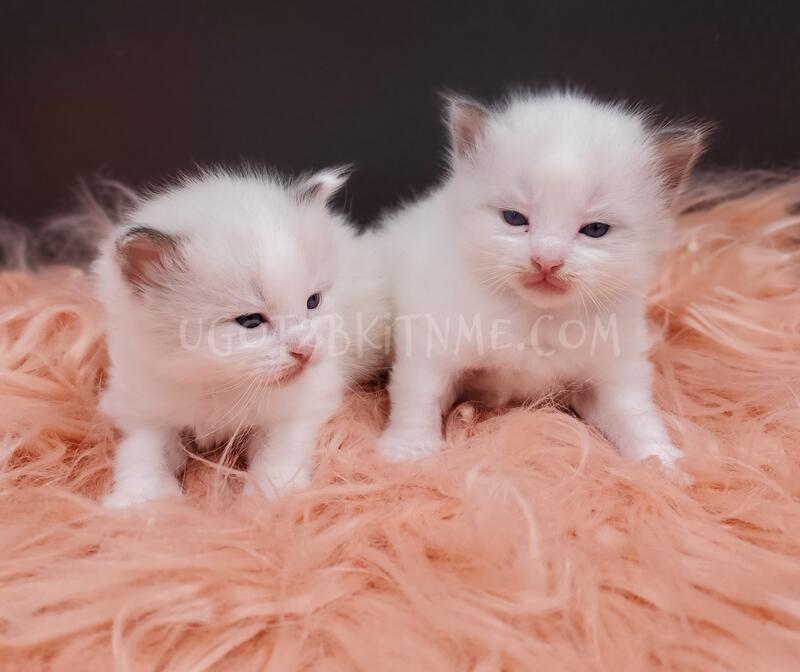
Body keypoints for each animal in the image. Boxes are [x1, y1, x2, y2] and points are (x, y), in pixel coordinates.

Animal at [95, 167, 389, 507]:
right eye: (250, 321)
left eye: (312, 302)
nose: (305, 349)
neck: (220, 382)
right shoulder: (142, 404)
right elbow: (143, 452)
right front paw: (140, 501)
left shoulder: (302, 402)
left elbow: (278, 450)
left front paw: (272, 496)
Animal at [376, 91, 705, 470]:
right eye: (514, 218)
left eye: (595, 229)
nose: (546, 260)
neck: (539, 316)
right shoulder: (433, 341)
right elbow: (419, 394)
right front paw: (409, 450)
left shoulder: (615, 369)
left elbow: (635, 414)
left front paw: (659, 459)